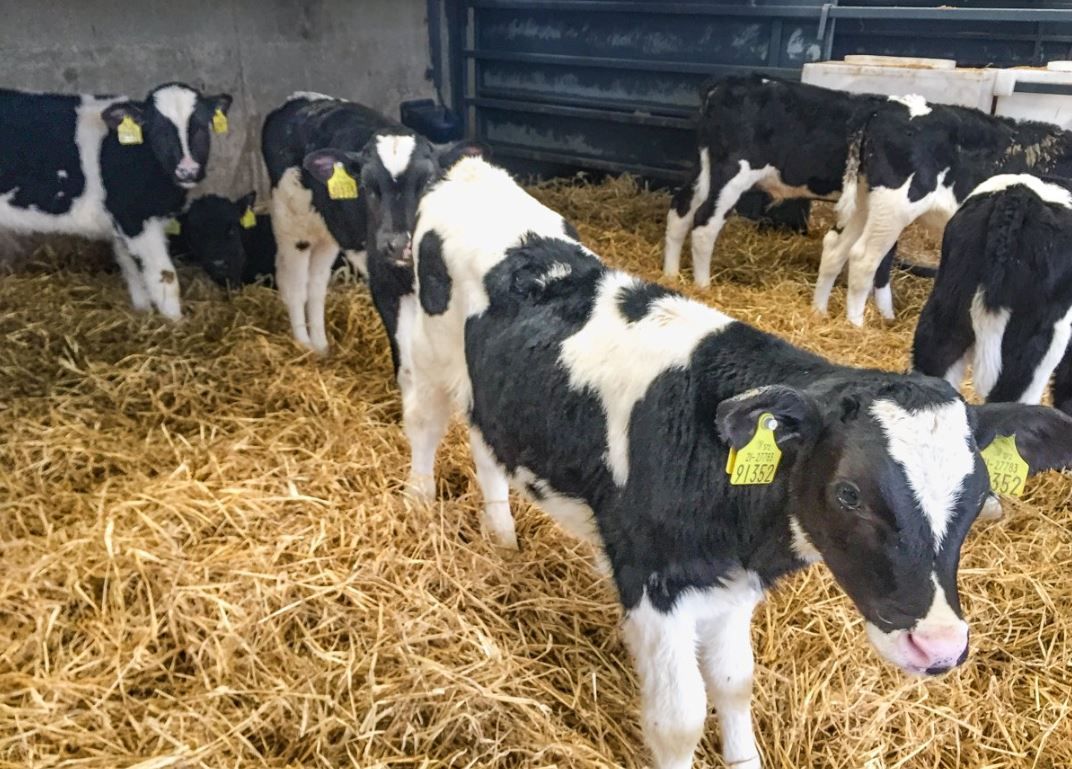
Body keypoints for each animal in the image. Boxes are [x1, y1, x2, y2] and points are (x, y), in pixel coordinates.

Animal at [0, 82, 232, 319]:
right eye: (158, 131)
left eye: (201, 127)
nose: (188, 170)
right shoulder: (136, 220)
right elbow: (164, 276)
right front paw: (176, 322)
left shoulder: (122, 224)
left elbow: (132, 271)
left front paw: (144, 313)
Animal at [261, 91, 481, 360]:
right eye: (365, 185)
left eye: (429, 181)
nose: (398, 244)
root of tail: (298, 99)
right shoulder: (385, 283)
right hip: (291, 220)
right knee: (295, 285)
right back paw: (304, 345)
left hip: (329, 229)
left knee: (316, 283)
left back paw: (321, 346)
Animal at [816, 96, 1072, 326]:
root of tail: (887, 105)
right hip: (895, 206)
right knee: (864, 257)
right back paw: (856, 325)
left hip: (864, 200)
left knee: (836, 246)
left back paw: (819, 310)